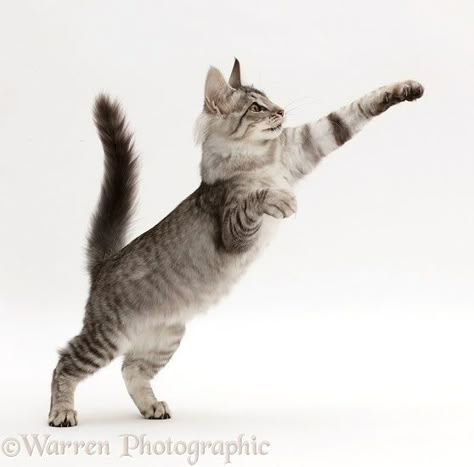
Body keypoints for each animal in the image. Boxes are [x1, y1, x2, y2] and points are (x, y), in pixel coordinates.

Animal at [49, 59, 426, 428]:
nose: (281, 110)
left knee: (131, 370)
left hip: (165, 337)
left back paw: (152, 407)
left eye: (270, 99)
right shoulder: (232, 228)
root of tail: (106, 262)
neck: (259, 159)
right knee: (64, 363)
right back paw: (61, 412)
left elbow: (352, 111)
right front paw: (277, 199)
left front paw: (405, 88)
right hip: (107, 335)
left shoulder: (304, 144)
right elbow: (255, 200)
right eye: (256, 107)